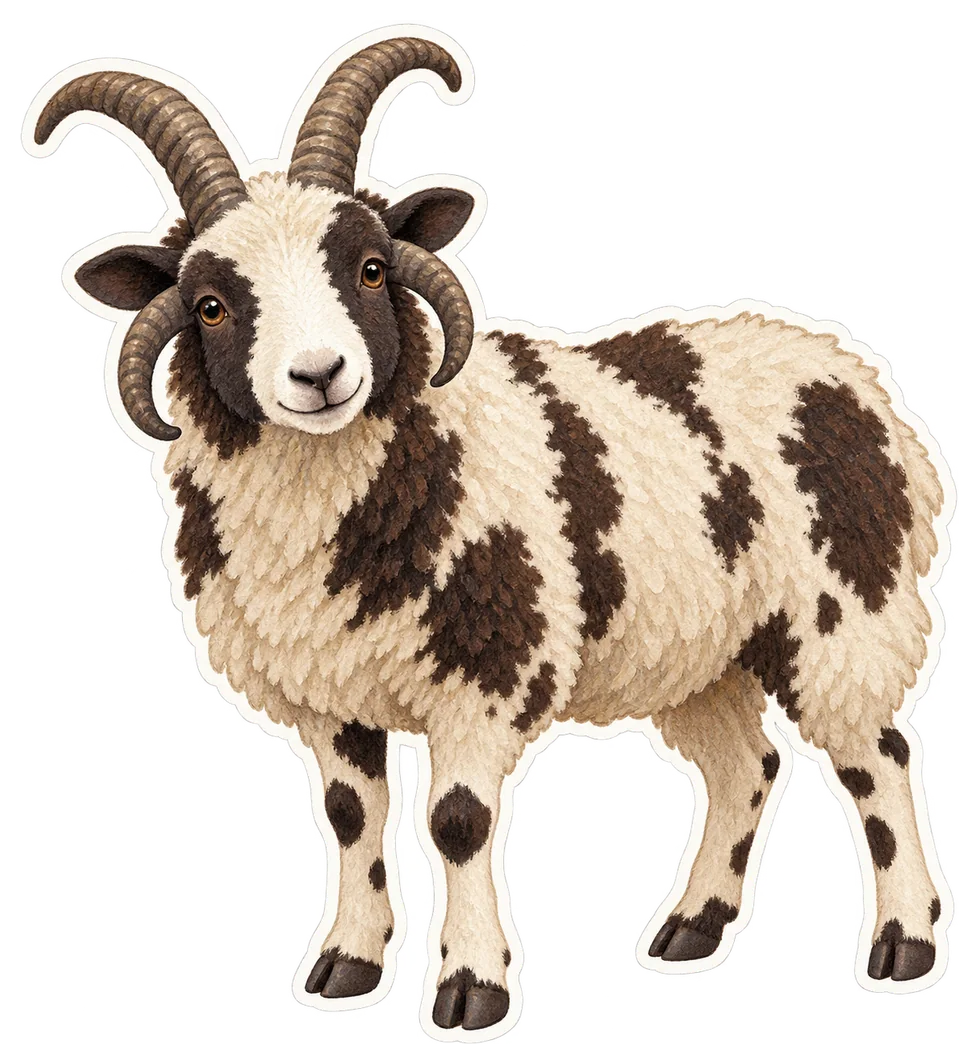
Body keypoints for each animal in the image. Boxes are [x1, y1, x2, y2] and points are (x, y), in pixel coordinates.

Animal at [27, 32, 952, 1033]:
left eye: (370, 269)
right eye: (210, 305)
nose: (319, 375)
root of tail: (865, 392)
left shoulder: (487, 667)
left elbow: (457, 820)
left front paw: (471, 990)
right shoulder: (329, 693)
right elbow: (351, 818)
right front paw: (345, 968)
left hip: (841, 611)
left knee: (876, 757)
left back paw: (903, 945)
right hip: (700, 648)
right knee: (745, 766)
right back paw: (690, 933)